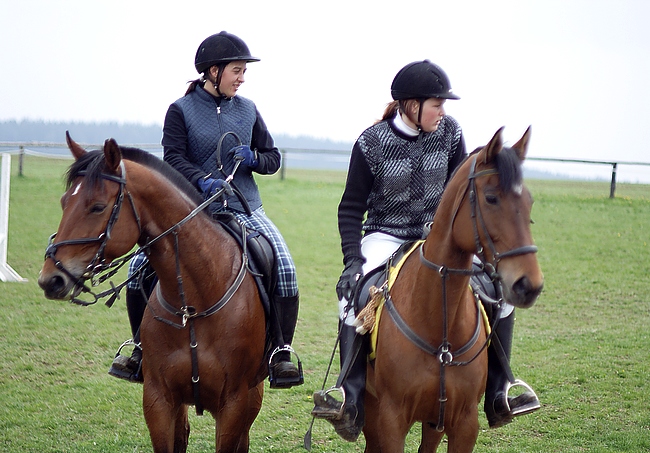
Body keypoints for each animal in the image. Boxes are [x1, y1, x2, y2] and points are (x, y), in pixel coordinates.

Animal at [38, 132, 266, 450]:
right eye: (63, 202)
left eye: (97, 207)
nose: (51, 279)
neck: (193, 305)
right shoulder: (158, 400)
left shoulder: (234, 404)